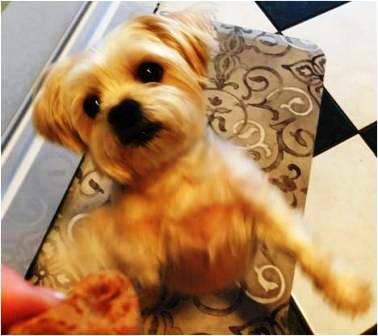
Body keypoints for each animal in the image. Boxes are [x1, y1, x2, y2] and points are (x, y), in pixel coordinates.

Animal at [33, 11, 372, 316]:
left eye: (149, 71)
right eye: (91, 105)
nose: (122, 111)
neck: (173, 177)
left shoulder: (259, 206)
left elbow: (301, 244)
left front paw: (347, 291)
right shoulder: (137, 243)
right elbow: (138, 262)